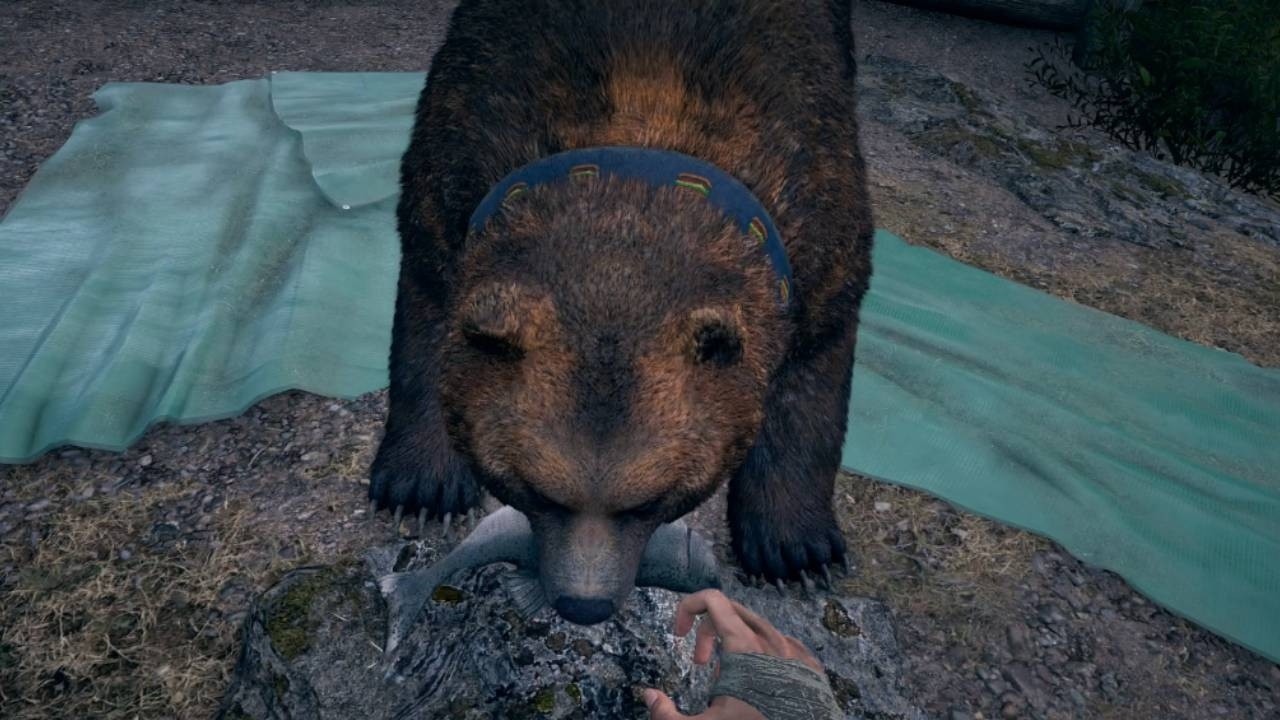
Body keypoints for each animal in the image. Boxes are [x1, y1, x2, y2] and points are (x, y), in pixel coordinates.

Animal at [369, 0, 875, 625]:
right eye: (533, 487)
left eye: (652, 499)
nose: (584, 604)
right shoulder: (456, 151)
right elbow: (428, 309)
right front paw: (420, 488)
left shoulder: (820, 212)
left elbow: (814, 367)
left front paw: (796, 552)